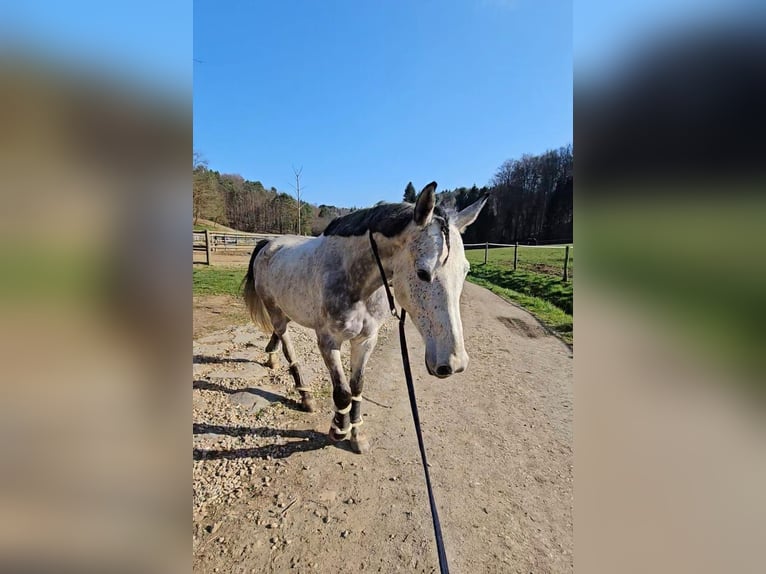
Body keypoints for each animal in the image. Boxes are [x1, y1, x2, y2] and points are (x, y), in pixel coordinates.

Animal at [243, 183, 488, 454]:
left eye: (465, 271)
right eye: (423, 272)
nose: (454, 363)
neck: (354, 281)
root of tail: (269, 243)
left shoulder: (366, 340)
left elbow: (357, 386)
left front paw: (357, 434)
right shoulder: (328, 342)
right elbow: (342, 392)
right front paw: (339, 429)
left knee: (279, 335)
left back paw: (272, 357)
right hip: (275, 310)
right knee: (287, 345)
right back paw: (305, 396)